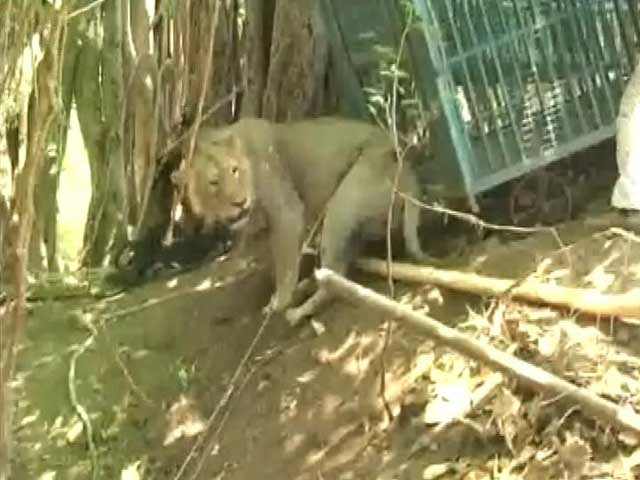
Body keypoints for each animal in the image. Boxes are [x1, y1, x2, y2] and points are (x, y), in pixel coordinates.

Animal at [183, 116, 429, 324]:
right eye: (214, 182)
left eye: (234, 170)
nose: (240, 202)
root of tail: (408, 171)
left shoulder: (287, 214)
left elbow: (284, 265)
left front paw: (280, 301)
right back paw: (306, 287)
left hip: (343, 204)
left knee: (336, 277)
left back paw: (298, 311)